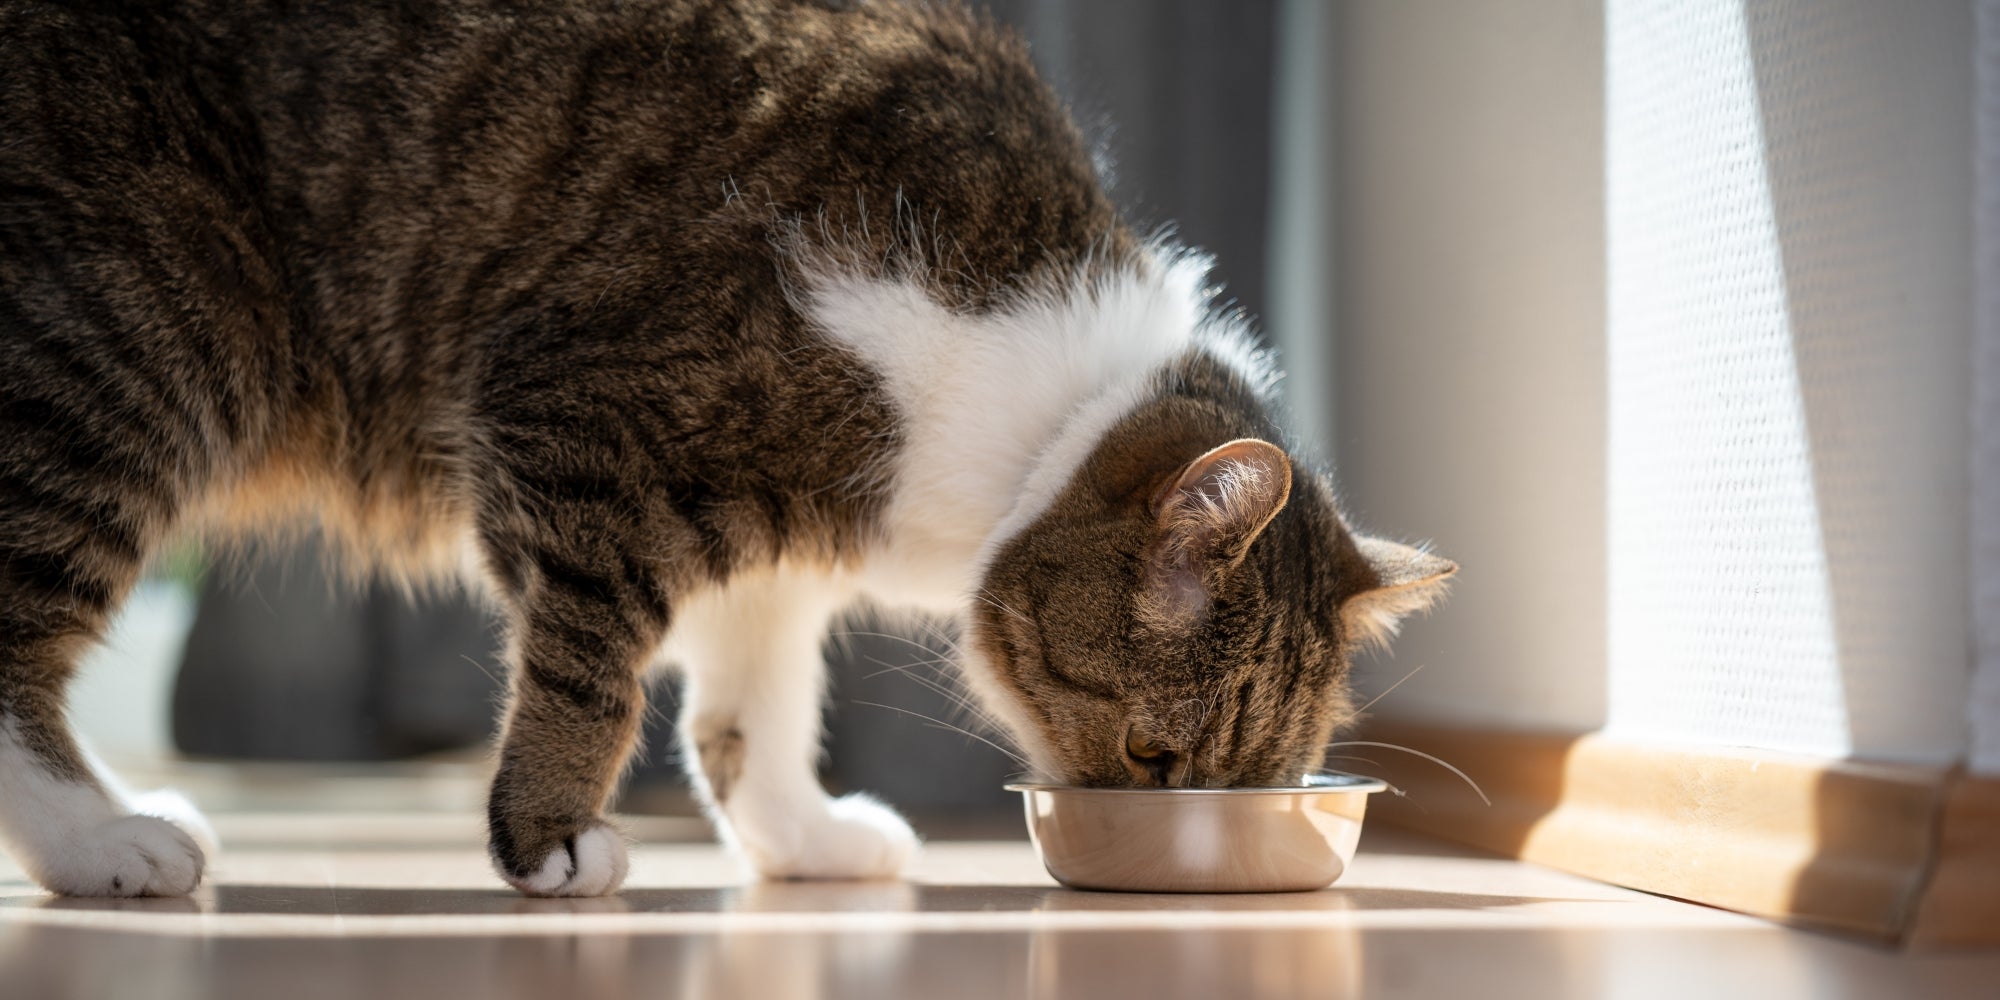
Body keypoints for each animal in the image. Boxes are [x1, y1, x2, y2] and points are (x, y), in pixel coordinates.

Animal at [0, 0, 1448, 904]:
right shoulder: (579, 432)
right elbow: (593, 678)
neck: (1037, 392)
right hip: (138, 345)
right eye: (1152, 756)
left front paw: (800, 840)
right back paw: (102, 840)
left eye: (1244, 780)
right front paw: (551, 840)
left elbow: (755, 706)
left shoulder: (773, 547)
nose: (1159, 827)